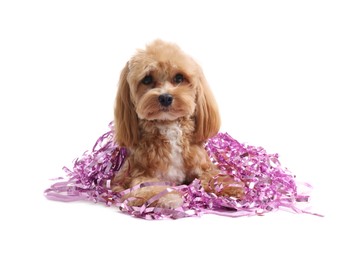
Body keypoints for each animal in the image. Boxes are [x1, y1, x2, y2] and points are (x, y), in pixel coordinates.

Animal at [112, 39, 245, 208]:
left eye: (179, 78)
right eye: (147, 79)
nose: (165, 97)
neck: (169, 126)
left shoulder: (202, 165)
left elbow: (214, 175)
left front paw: (230, 186)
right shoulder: (135, 174)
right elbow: (148, 187)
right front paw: (168, 197)